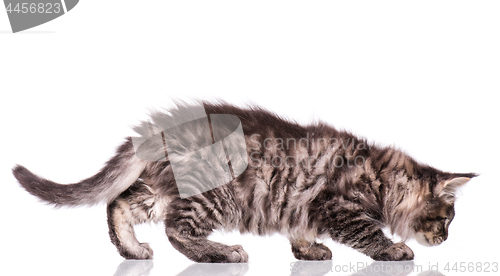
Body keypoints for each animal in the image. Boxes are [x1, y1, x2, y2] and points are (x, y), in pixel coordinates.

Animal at [12, 102, 476, 262]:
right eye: (446, 219)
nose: (446, 240)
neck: (382, 179)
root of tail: (160, 130)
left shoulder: (301, 205)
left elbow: (299, 228)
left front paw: (308, 250)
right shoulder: (338, 205)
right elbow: (368, 233)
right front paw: (393, 249)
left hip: (163, 189)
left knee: (118, 204)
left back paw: (131, 249)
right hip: (213, 193)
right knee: (176, 231)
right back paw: (221, 252)